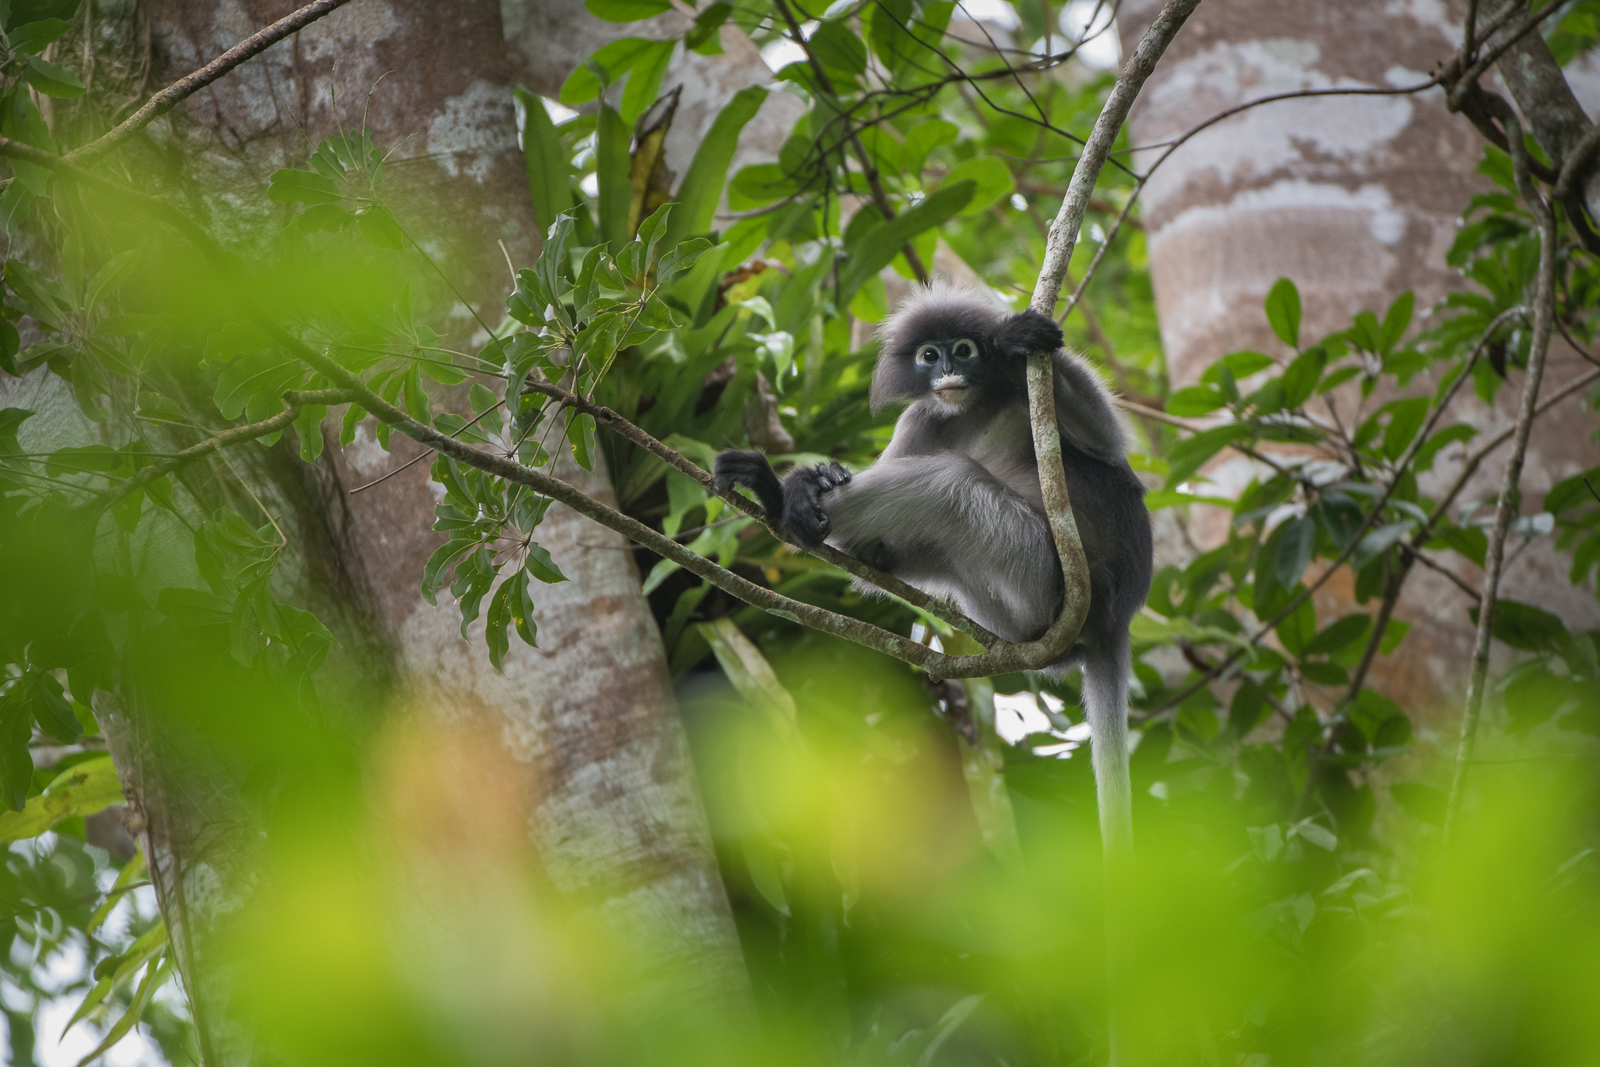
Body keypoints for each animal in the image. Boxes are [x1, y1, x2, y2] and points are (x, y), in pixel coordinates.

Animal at [716, 286, 1152, 851]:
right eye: (929, 356)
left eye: (964, 350)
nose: (946, 369)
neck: (972, 406)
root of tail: (1114, 617)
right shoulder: (922, 418)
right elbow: (866, 561)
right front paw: (826, 482)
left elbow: (1106, 441)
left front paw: (1019, 337)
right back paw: (791, 499)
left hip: (1046, 575)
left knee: (952, 482)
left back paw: (773, 494)